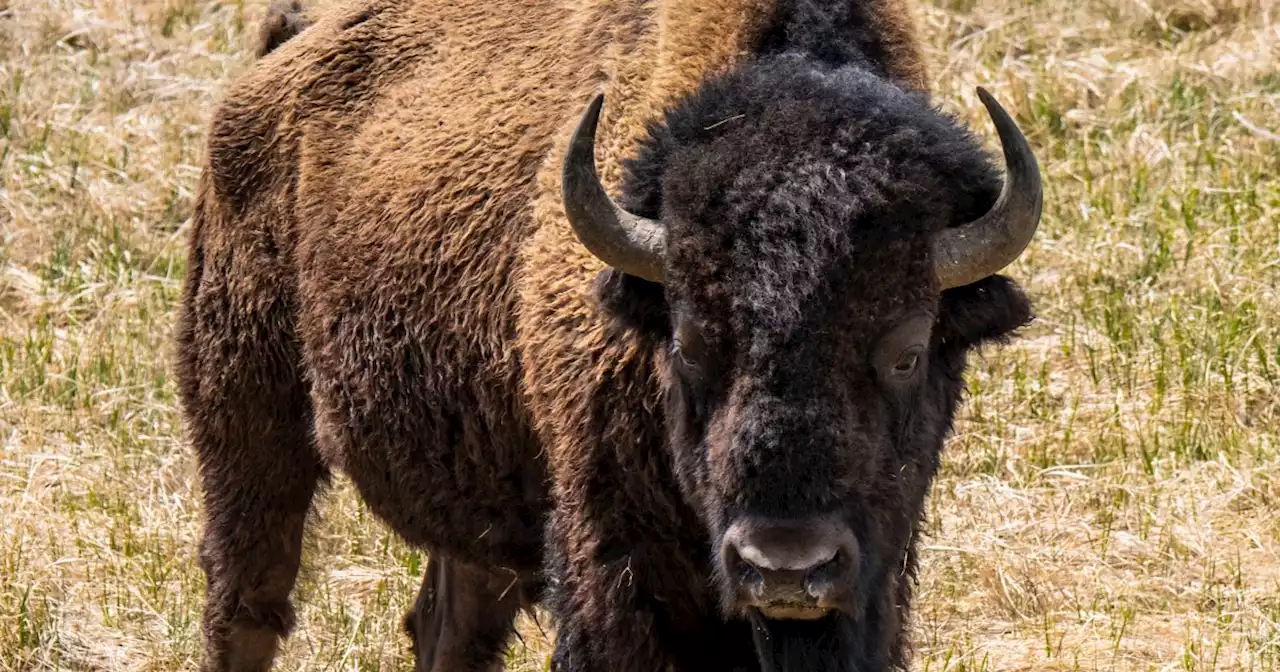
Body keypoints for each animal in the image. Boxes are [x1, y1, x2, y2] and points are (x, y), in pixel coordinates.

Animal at [177, 0, 1039, 665]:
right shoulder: (609, 563)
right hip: (244, 412)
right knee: (246, 603)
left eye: (908, 351)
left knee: (447, 627)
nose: (786, 567)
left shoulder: (876, 575)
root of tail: (279, 58)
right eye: (689, 343)